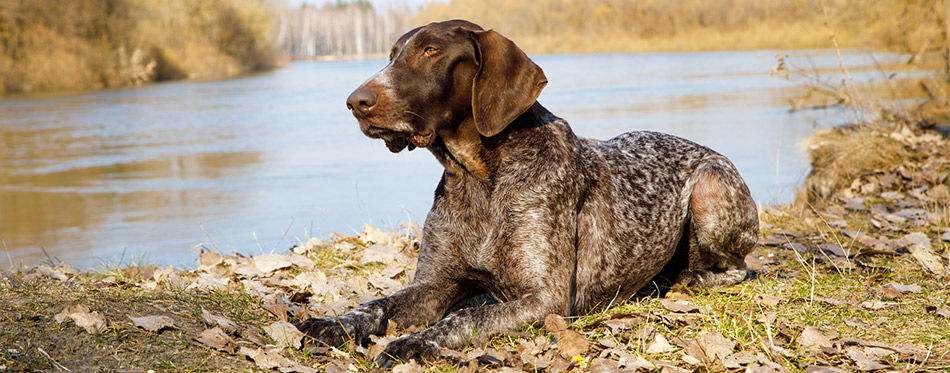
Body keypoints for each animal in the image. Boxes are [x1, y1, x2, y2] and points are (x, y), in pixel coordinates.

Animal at [298, 18, 760, 364]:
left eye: (430, 51)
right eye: (392, 55)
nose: (356, 102)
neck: (479, 178)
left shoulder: (546, 299)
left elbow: (461, 320)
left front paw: (415, 341)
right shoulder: (435, 285)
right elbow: (377, 303)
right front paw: (336, 323)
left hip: (710, 188)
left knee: (738, 267)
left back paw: (689, 278)